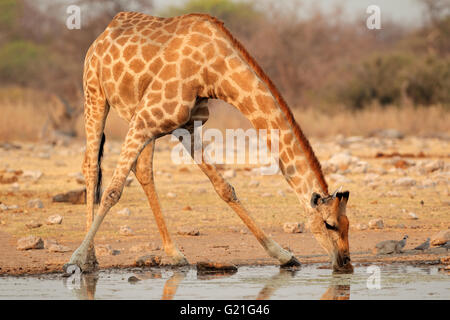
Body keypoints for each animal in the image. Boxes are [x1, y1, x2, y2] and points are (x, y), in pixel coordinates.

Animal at [63, 11, 354, 274]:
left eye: (348, 224)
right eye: (329, 224)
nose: (345, 262)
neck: (215, 71)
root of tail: (102, 35)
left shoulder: (186, 125)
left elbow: (224, 188)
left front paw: (284, 255)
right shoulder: (146, 117)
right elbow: (113, 191)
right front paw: (75, 260)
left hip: (139, 117)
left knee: (142, 169)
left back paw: (174, 254)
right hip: (95, 94)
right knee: (91, 165)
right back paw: (91, 259)